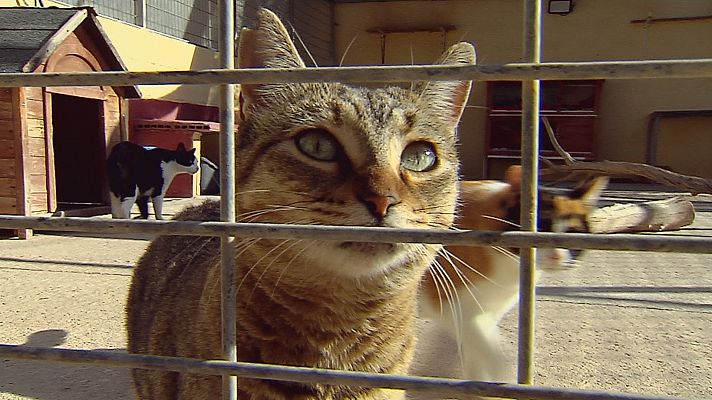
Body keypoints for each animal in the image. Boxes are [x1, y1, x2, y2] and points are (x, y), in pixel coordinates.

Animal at [420, 165, 608, 382]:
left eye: (571, 233)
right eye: (540, 228)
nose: (556, 256)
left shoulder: (484, 313)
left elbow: (476, 359)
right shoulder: (457, 310)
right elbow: (495, 357)